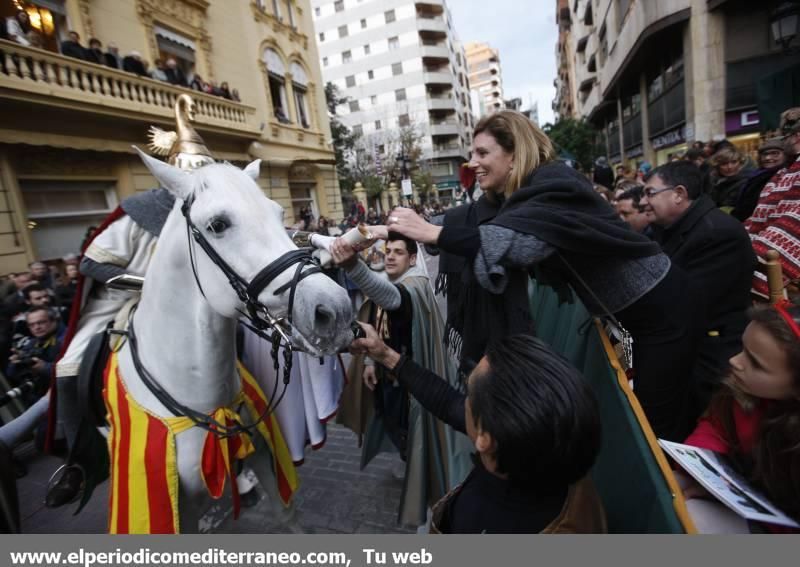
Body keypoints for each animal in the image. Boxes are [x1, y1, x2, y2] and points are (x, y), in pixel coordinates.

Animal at [104, 150, 354, 532]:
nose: (334, 311)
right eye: (218, 224)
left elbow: (286, 513)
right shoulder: (175, 508)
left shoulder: (265, 456)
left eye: (278, 213)